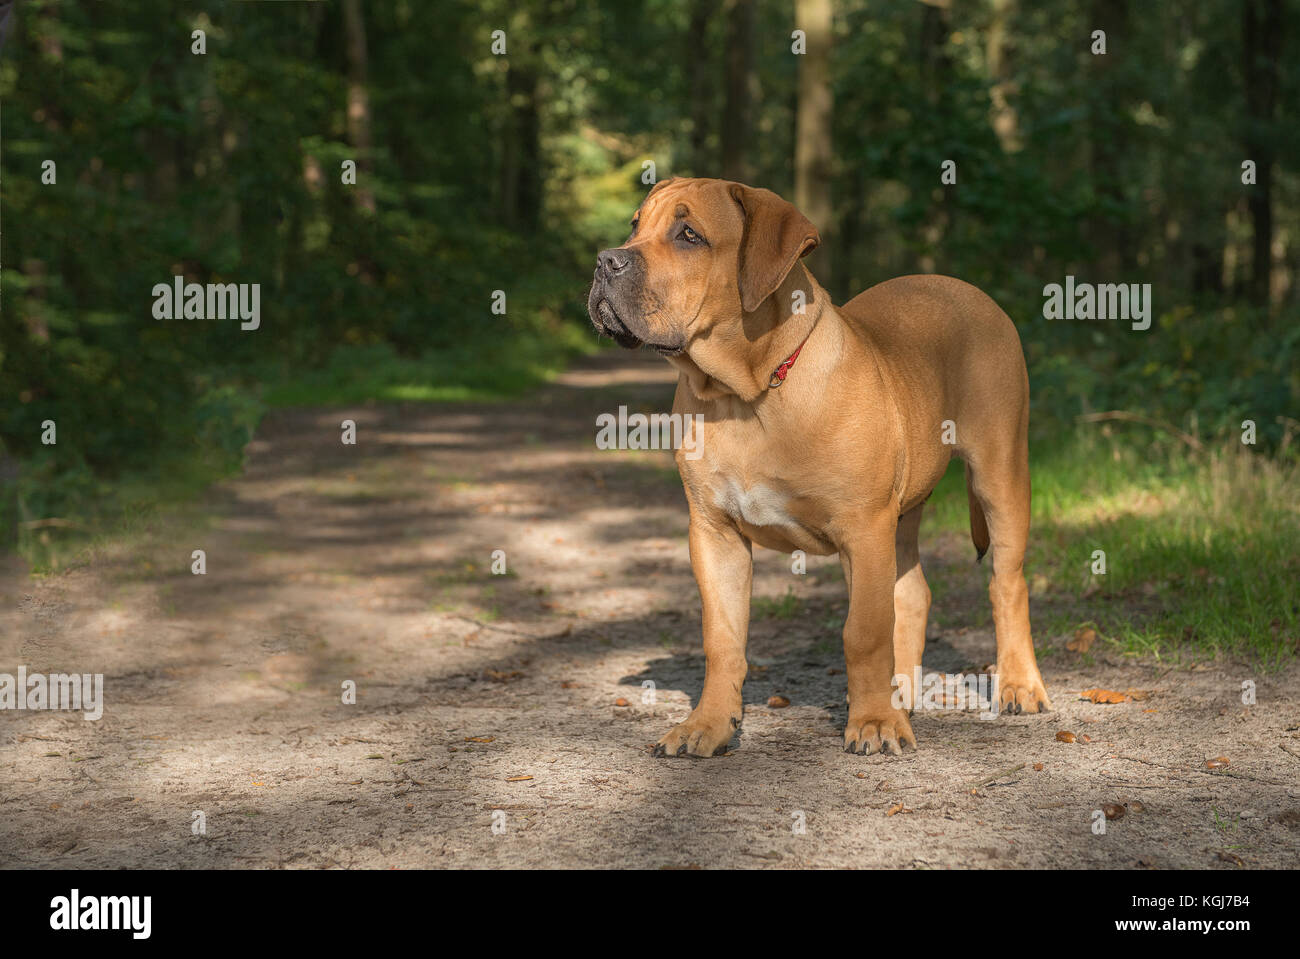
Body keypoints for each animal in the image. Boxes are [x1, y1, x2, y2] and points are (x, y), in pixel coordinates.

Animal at [585, 179, 1050, 753]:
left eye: (688, 234)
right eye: (634, 226)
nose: (605, 260)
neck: (746, 394)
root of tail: (967, 290)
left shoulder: (863, 528)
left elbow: (864, 633)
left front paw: (872, 723)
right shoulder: (713, 533)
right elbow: (722, 638)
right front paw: (708, 724)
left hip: (998, 474)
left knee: (1007, 583)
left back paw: (1018, 686)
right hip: (904, 512)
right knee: (912, 592)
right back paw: (902, 693)